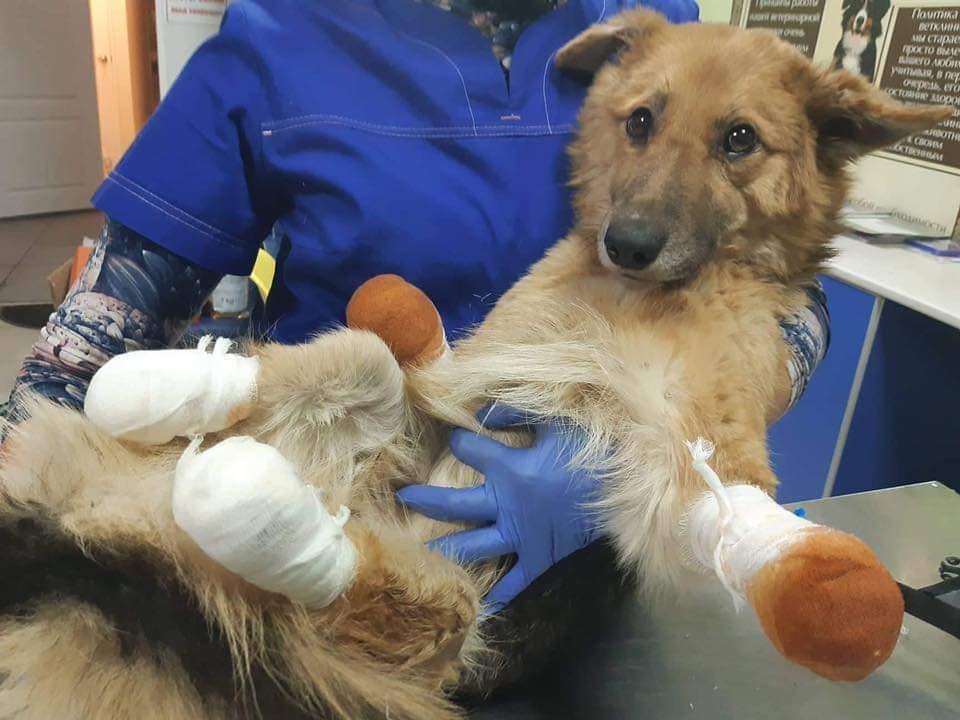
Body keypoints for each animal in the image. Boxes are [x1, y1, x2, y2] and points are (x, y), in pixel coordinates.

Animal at [0, 11, 944, 720]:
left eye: (739, 140)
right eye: (640, 121)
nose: (628, 242)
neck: (645, 299)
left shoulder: (693, 447)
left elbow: (728, 503)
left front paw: (830, 590)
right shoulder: (472, 371)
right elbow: (396, 353)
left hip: (426, 622)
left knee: (376, 597)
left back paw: (262, 515)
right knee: (358, 374)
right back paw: (158, 395)